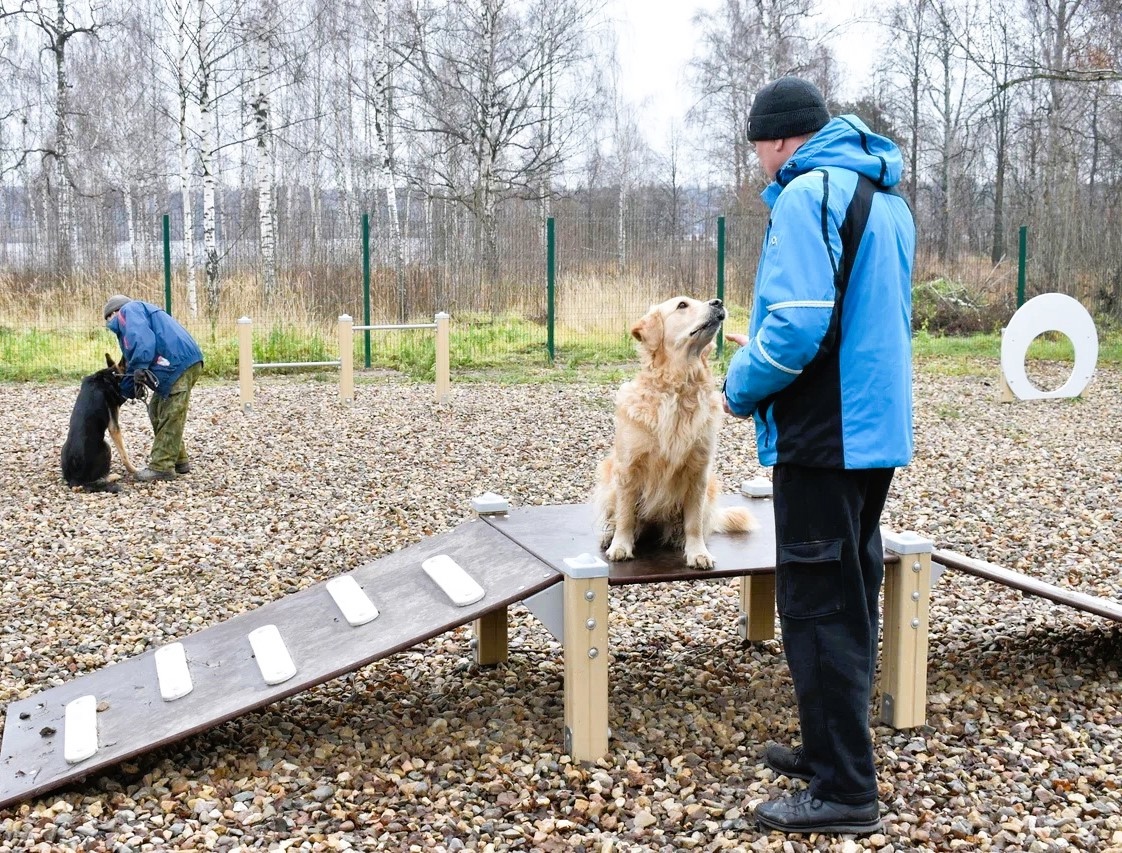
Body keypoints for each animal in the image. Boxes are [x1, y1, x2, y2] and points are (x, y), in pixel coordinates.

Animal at [61, 352, 137, 493]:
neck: (111, 375)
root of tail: (75, 480)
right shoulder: (114, 426)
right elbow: (124, 454)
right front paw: (134, 470)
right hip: (106, 446)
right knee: (98, 480)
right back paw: (113, 476)